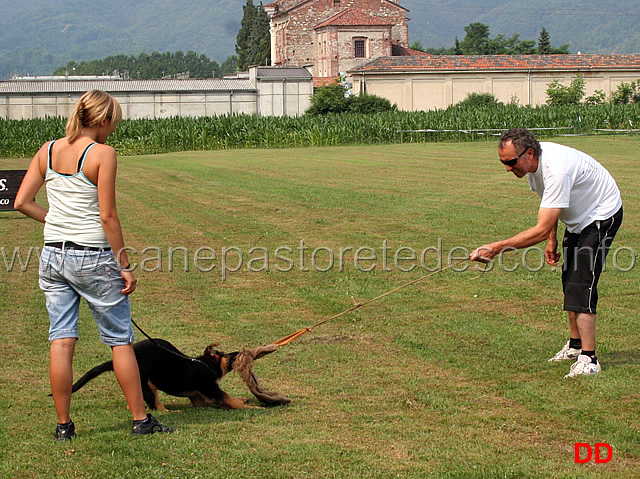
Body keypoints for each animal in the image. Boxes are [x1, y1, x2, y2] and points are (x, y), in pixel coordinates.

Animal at [69, 338, 250, 412]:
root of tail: (114, 362)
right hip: (147, 382)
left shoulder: (199, 398)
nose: (238, 352)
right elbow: (230, 400)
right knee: (156, 406)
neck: (205, 364)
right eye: (224, 354)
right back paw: (171, 411)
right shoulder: (212, 390)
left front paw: (242, 399)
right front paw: (250, 407)